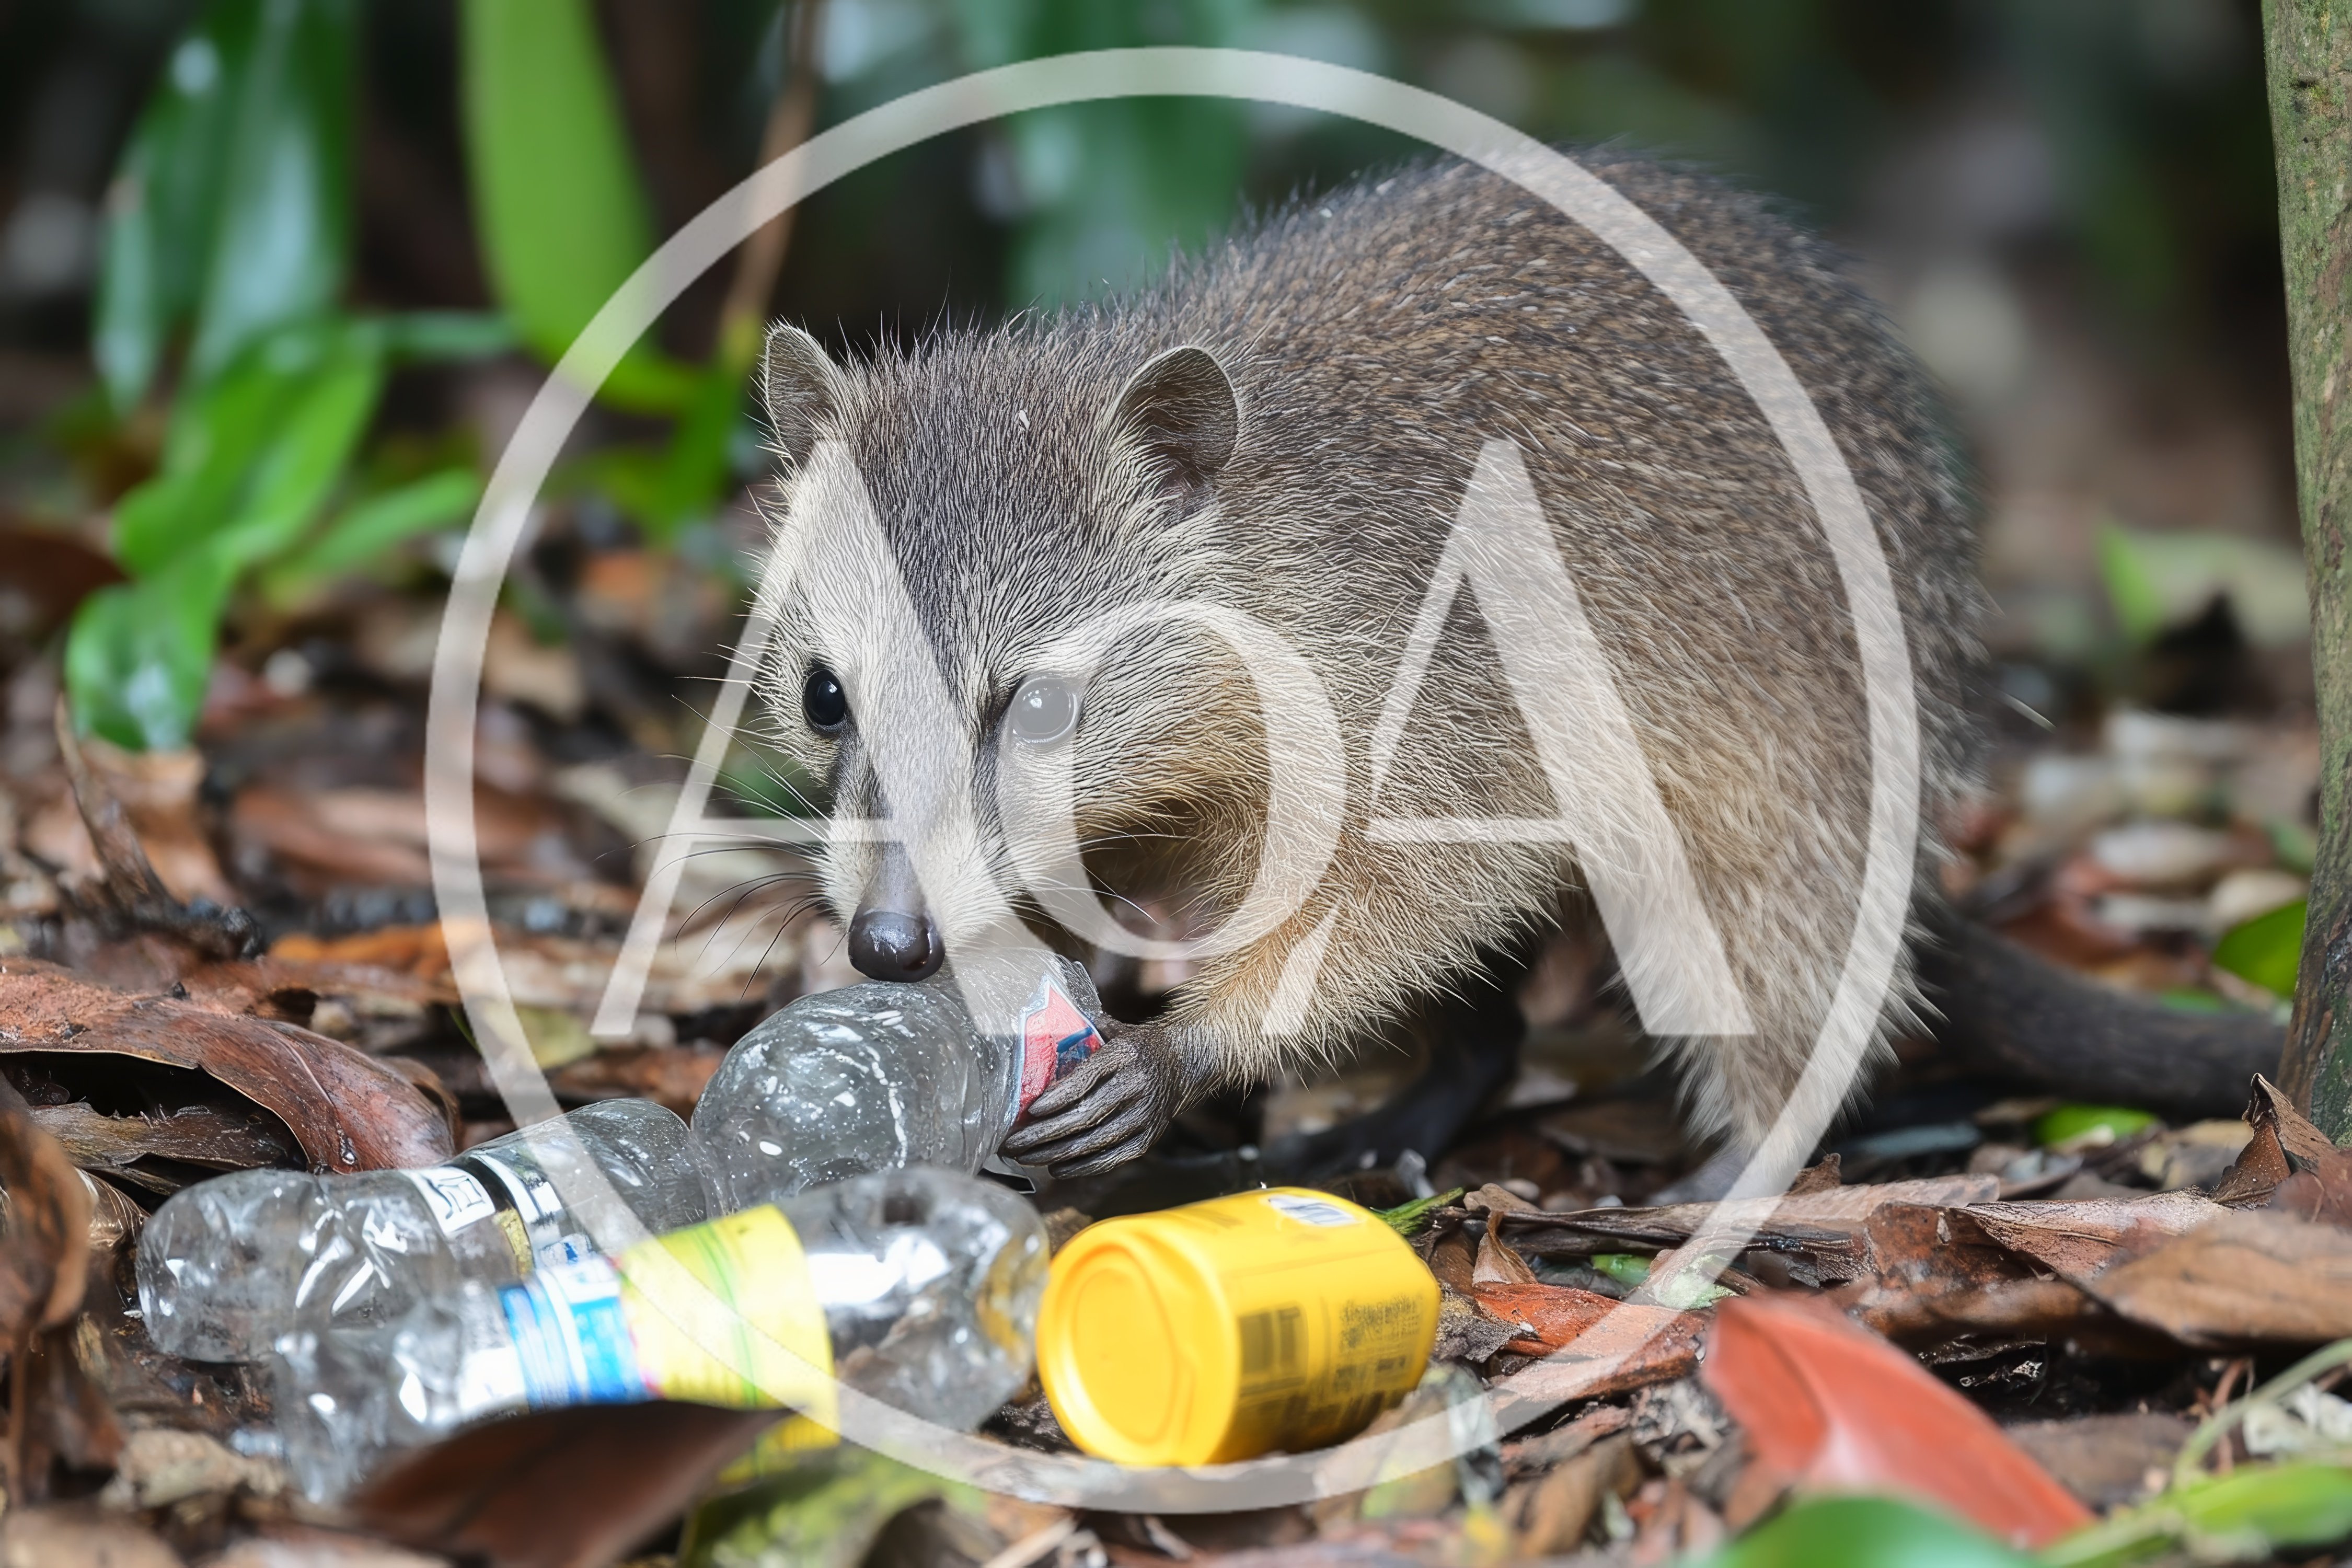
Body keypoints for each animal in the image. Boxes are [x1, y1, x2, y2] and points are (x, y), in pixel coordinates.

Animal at [746, 153, 2264, 1180]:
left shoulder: (1452, 701)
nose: (885, 947)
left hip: (1812, 730)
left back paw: (1752, 1157)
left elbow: (1412, 893)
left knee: (1773, 932)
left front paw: (1191, 1044)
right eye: (824, 697)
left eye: (1045, 704)